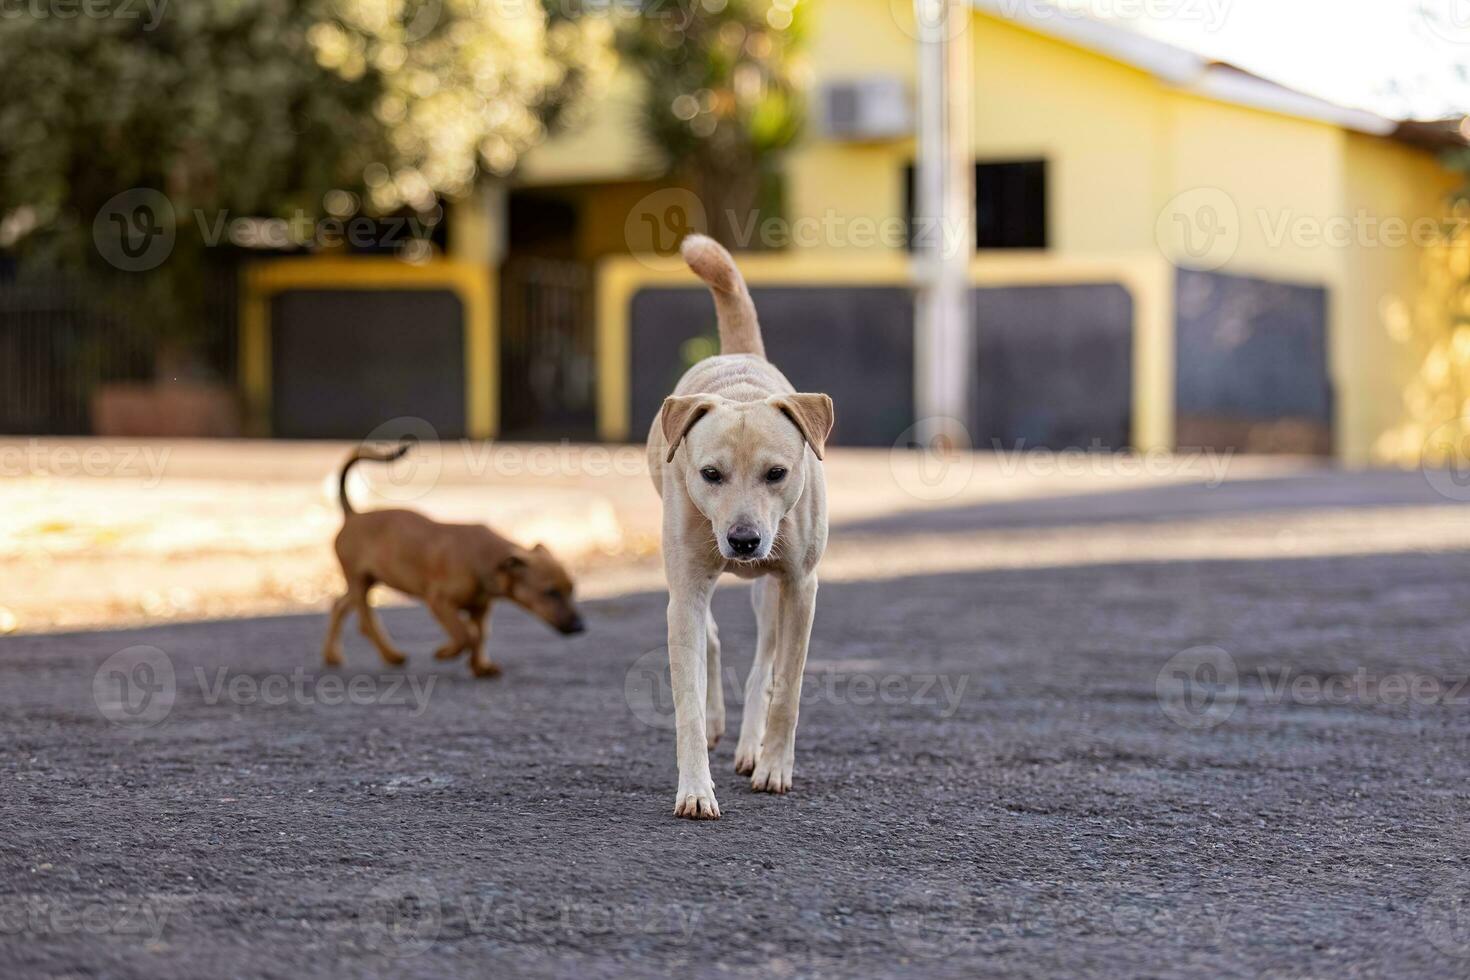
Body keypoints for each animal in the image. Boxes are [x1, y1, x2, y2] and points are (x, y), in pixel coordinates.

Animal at [323, 443, 585, 678]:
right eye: (550, 592)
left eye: (572, 589)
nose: (581, 627)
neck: (483, 558)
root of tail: (352, 515)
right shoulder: (439, 602)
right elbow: (465, 635)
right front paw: (444, 653)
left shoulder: (481, 609)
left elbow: (480, 635)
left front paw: (480, 667)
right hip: (359, 581)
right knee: (365, 622)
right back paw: (391, 656)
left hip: (369, 580)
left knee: (339, 605)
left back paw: (332, 656)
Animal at [646, 233, 834, 816]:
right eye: (710, 474)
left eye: (777, 473)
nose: (744, 540)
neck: (744, 393)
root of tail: (740, 354)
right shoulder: (684, 589)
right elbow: (686, 696)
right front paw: (694, 788)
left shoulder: (800, 586)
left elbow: (787, 685)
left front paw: (774, 766)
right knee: (708, 635)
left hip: (770, 593)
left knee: (762, 665)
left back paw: (751, 746)